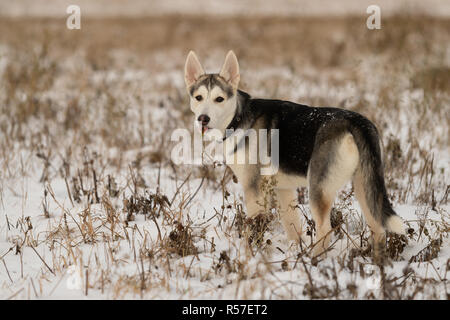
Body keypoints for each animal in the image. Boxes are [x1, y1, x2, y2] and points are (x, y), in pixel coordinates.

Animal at [183, 49, 404, 255]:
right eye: (198, 97)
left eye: (219, 99)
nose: (203, 118)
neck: (237, 118)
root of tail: (354, 122)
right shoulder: (283, 190)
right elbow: (293, 227)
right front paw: (294, 251)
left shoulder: (253, 189)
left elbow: (253, 227)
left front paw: (250, 254)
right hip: (364, 186)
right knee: (378, 228)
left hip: (318, 188)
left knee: (325, 230)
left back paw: (315, 260)